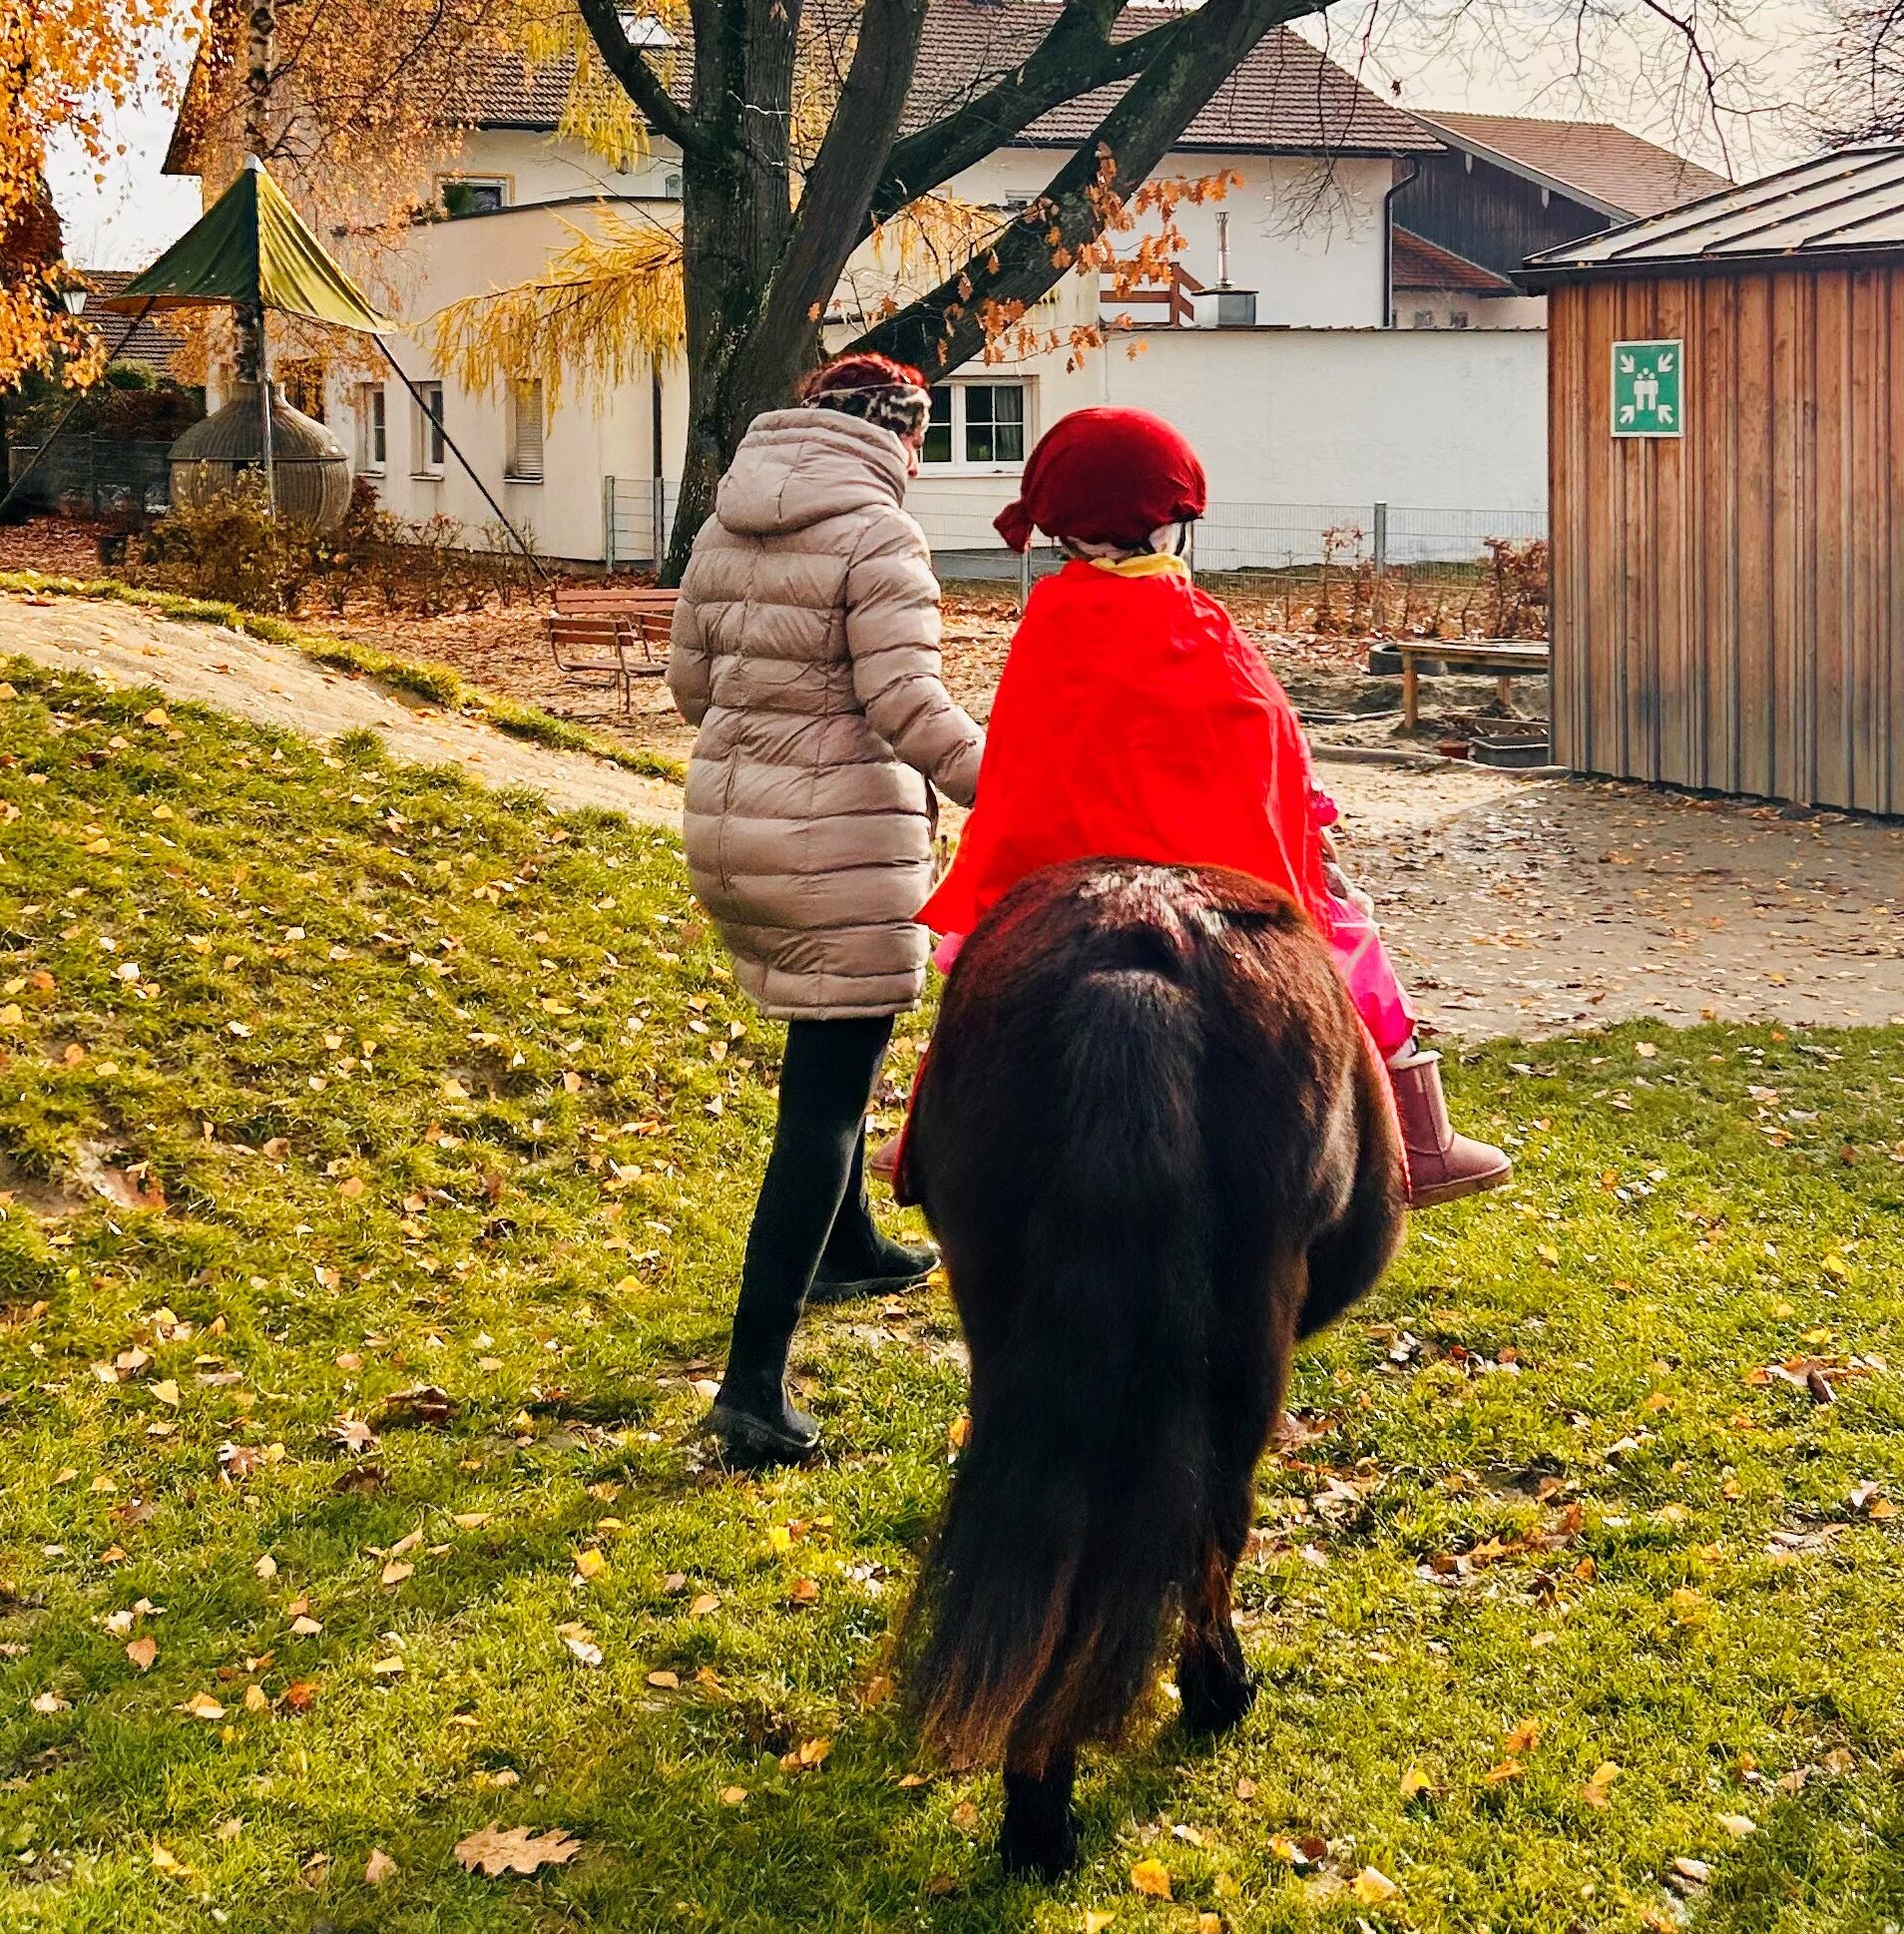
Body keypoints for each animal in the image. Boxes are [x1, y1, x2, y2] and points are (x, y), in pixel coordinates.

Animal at [895, 858, 1407, 1878]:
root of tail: (1137, 953)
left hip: (1005, 1319)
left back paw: (1035, 1808)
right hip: (1248, 1347)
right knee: (1214, 1520)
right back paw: (1207, 1699)